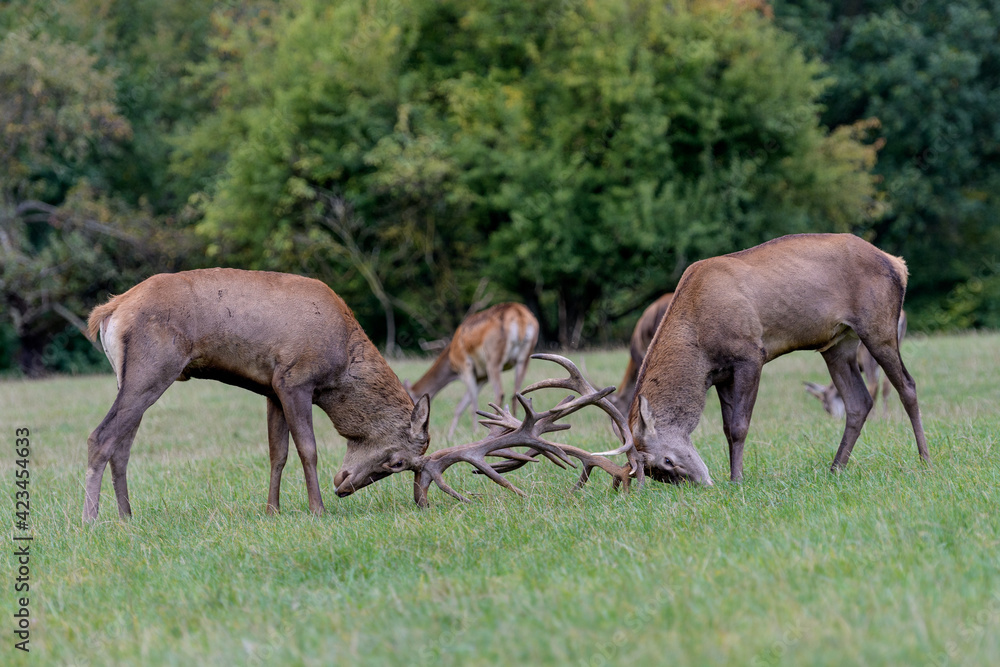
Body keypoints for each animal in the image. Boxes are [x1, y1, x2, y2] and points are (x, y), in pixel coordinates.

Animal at [404, 302, 540, 438]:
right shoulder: (482, 377)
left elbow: (472, 405)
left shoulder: (466, 367)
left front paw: (474, 431)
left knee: (500, 393)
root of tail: (519, 314)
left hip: (493, 358)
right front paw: (450, 435)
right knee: (516, 394)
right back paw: (515, 427)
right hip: (524, 358)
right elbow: (460, 406)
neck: (452, 362)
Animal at [632, 235, 928, 486]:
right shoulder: (722, 374)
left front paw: (737, 481)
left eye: (667, 460)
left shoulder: (750, 355)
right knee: (858, 401)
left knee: (907, 386)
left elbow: (739, 427)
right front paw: (733, 476)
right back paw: (835, 468)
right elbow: (727, 428)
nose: (702, 483)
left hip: (878, 327)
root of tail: (898, 264)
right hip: (839, 344)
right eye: (656, 473)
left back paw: (924, 460)